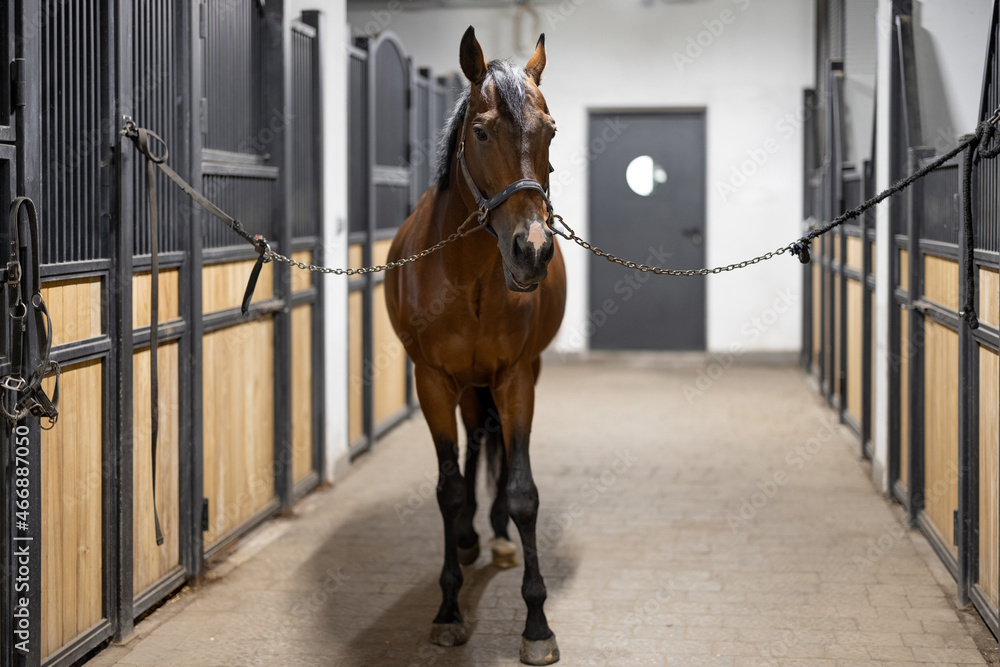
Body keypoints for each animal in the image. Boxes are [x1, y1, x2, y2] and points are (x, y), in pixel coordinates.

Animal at [386, 23, 568, 664]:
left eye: (551, 129)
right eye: (482, 130)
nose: (532, 251)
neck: (469, 279)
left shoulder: (515, 377)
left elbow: (522, 491)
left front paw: (536, 623)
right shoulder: (433, 382)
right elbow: (448, 490)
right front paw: (447, 608)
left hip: (505, 379)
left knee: (493, 442)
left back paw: (495, 537)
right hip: (464, 385)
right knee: (471, 445)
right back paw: (467, 540)